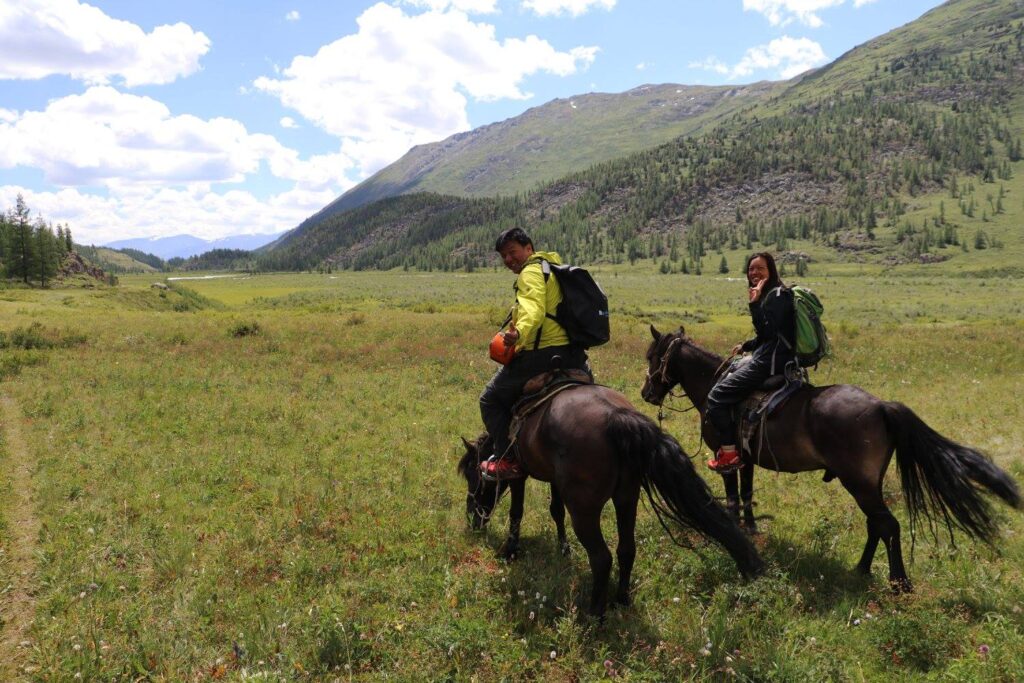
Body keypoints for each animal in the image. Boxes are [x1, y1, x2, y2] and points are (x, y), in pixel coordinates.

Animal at [456, 385, 761, 618]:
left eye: (473, 473)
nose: (472, 519)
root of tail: (617, 417)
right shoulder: (556, 480)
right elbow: (555, 511)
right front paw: (563, 548)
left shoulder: (519, 473)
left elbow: (516, 511)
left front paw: (510, 550)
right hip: (627, 498)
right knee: (626, 549)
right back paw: (621, 599)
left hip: (584, 510)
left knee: (602, 558)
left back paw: (594, 614)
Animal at [643, 325, 1019, 593]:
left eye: (653, 357)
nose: (646, 393)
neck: (713, 387)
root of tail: (881, 406)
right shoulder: (746, 459)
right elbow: (747, 495)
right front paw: (751, 530)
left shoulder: (725, 458)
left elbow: (734, 497)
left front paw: (736, 530)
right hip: (868, 483)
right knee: (876, 524)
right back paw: (861, 569)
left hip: (860, 483)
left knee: (888, 524)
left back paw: (899, 583)